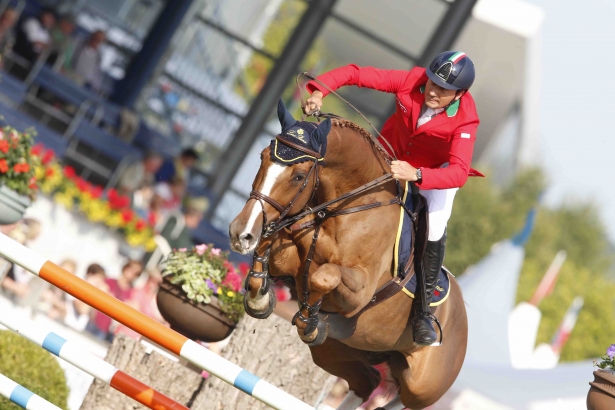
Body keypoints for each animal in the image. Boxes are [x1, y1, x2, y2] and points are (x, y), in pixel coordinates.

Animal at [230, 100, 466, 410]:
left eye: (298, 176)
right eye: (262, 157)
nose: (240, 233)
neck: (348, 206)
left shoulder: (359, 292)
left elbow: (324, 277)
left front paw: (310, 320)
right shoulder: (288, 251)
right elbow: (268, 252)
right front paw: (259, 298)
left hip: (420, 388)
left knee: (401, 399)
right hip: (341, 351)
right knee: (367, 382)